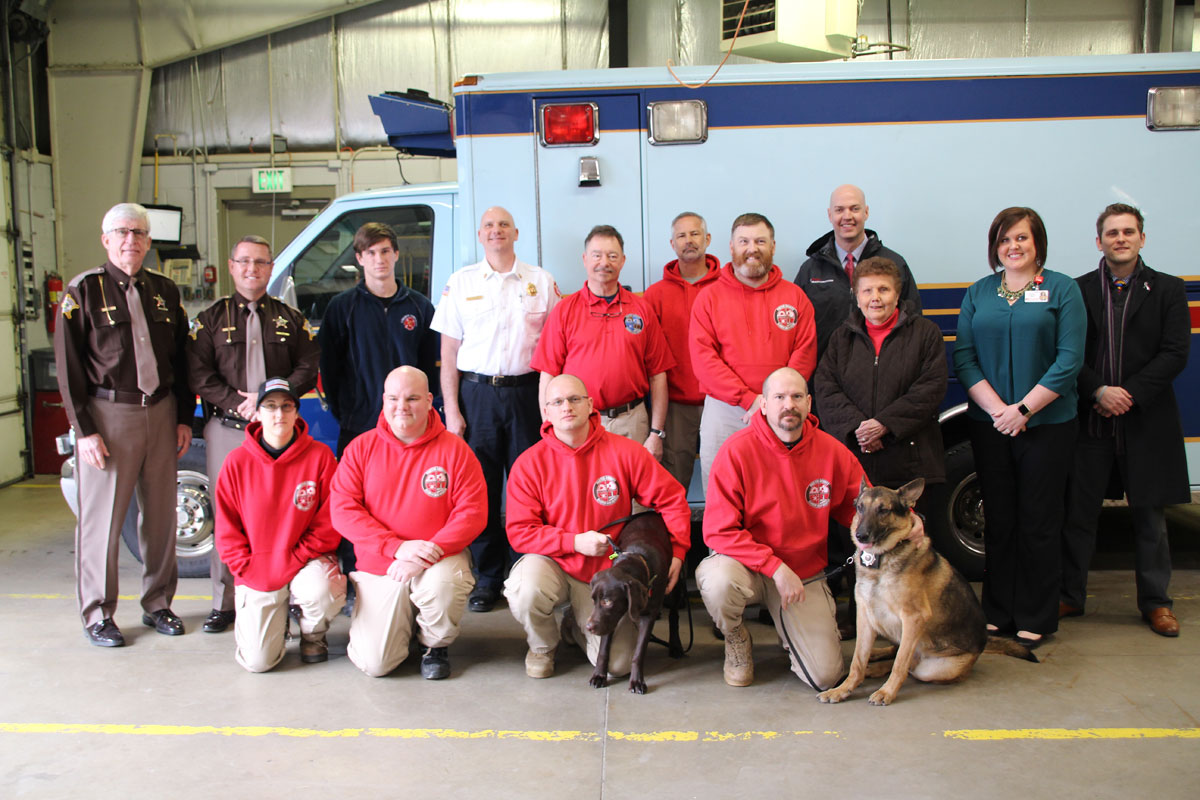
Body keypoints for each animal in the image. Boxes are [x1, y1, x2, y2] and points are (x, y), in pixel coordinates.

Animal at [820, 479, 1036, 705]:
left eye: (884, 510)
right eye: (860, 507)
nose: (861, 535)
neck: (881, 560)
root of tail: (982, 645)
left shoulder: (913, 618)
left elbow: (899, 664)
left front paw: (887, 692)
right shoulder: (865, 617)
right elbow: (857, 661)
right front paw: (842, 689)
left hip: (933, 667)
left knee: (909, 664)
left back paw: (878, 668)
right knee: (896, 652)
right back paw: (875, 656)